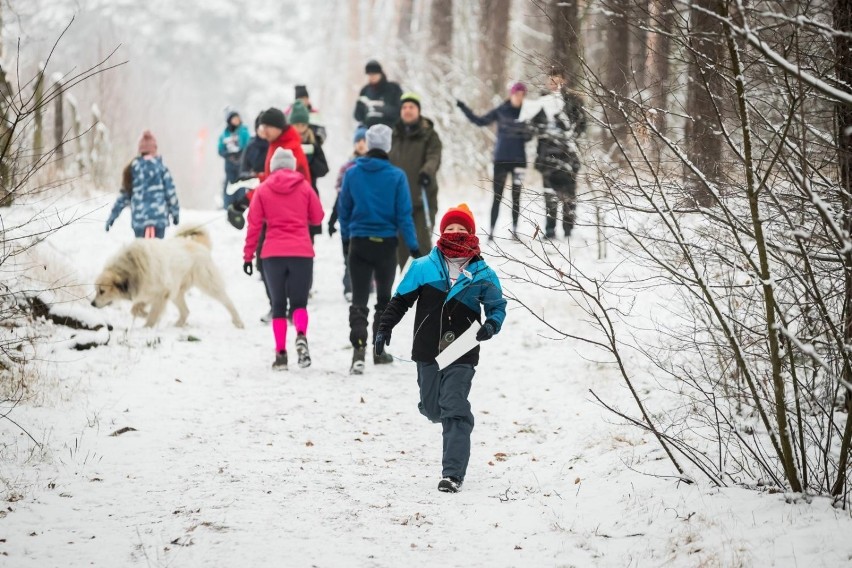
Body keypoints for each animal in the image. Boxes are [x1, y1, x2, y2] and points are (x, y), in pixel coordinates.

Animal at [94, 227, 245, 328]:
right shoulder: (148, 293)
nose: (93, 304)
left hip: (208, 284)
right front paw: (143, 314)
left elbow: (153, 313)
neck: (132, 269)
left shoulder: (161, 293)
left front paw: (147, 326)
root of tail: (199, 246)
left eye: (102, 291)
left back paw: (238, 321)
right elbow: (135, 309)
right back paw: (178, 325)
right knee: (186, 311)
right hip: (176, 292)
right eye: (96, 291)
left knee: (227, 300)